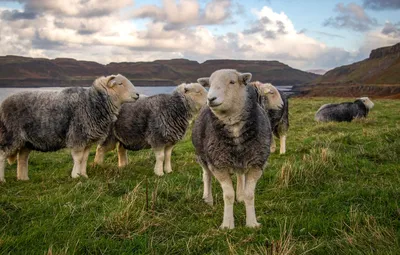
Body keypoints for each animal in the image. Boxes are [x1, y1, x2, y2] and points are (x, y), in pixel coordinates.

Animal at [0, 73, 139, 181]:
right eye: (120, 84)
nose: (137, 95)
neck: (91, 102)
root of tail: (4, 102)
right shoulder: (78, 136)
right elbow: (78, 158)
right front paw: (76, 176)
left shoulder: (87, 140)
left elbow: (84, 158)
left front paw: (84, 175)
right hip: (10, 135)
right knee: (2, 155)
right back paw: (2, 180)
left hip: (26, 141)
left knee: (22, 157)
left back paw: (23, 178)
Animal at [192, 68, 282, 228]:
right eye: (210, 84)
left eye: (232, 82)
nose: (211, 99)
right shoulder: (218, 164)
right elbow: (228, 195)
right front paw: (227, 224)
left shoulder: (257, 164)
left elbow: (250, 194)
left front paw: (252, 223)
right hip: (202, 156)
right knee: (206, 175)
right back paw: (208, 199)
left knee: (240, 175)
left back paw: (240, 196)